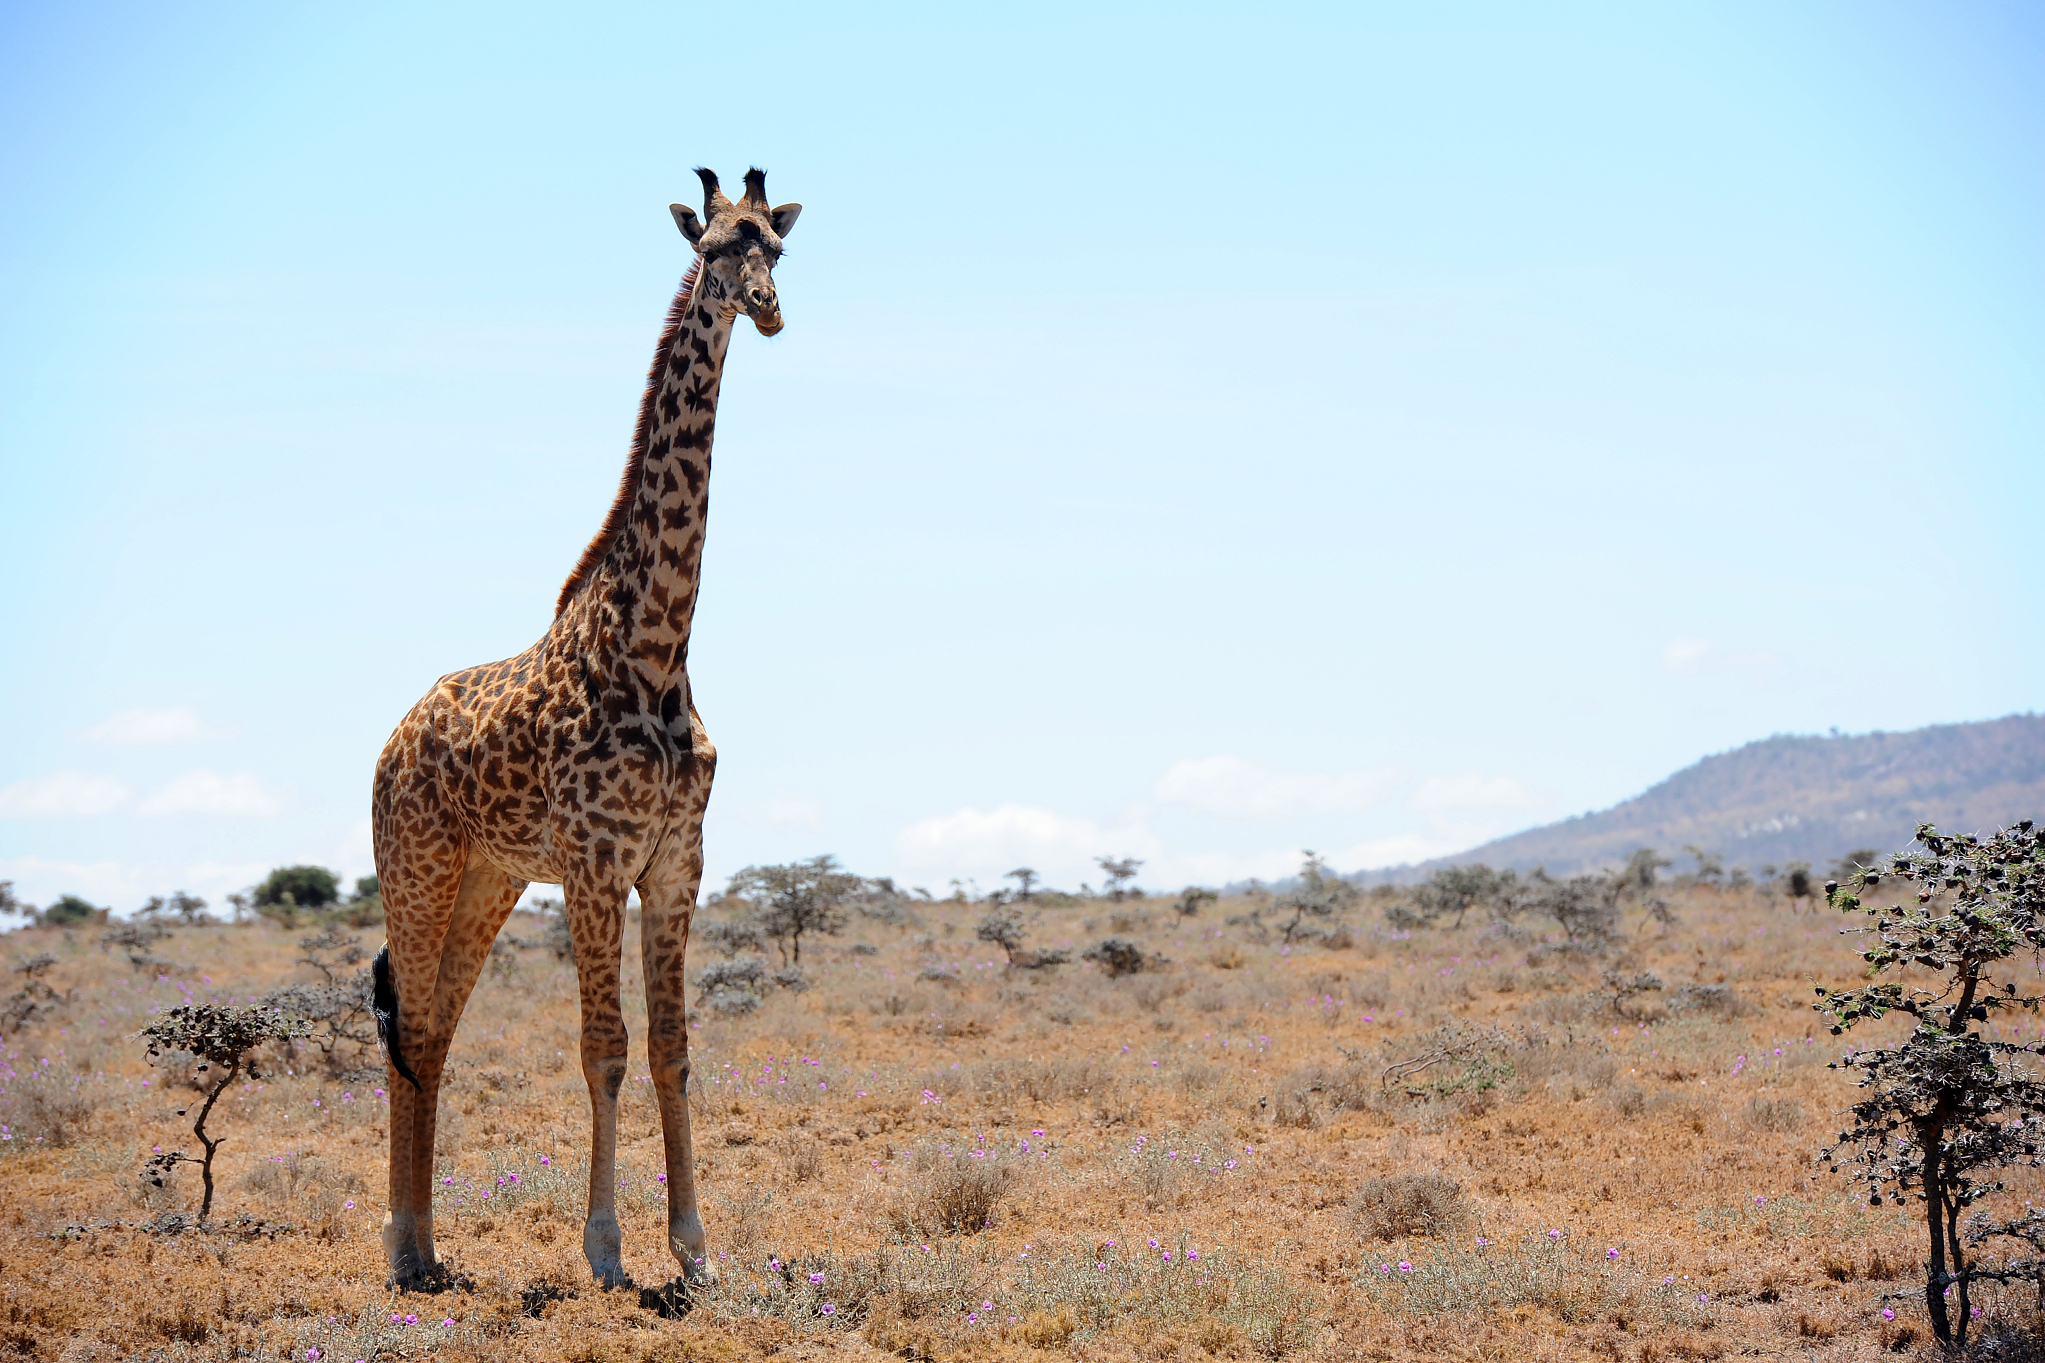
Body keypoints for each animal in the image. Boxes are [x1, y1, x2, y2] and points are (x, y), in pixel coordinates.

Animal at [368, 167, 797, 1291]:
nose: (766, 309)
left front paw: (693, 1247)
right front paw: (605, 1247)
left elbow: (671, 1046)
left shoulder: (675, 858)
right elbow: (602, 1047)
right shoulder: (598, 862)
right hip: (417, 864)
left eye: (775, 247)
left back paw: (429, 1244)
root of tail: (392, 739)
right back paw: (402, 1246)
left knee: (434, 1031)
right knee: (409, 1024)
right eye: (712, 248)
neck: (656, 646)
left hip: (489, 877)